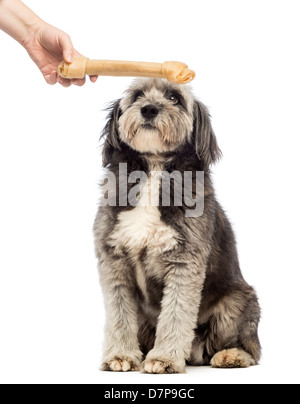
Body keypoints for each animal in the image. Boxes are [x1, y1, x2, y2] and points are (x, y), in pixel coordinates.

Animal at [94, 77, 260, 374]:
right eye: (137, 95)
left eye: (174, 98)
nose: (149, 109)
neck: (154, 168)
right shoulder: (114, 262)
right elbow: (119, 314)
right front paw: (120, 355)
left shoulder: (184, 262)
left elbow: (175, 313)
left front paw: (164, 359)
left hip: (237, 303)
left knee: (252, 348)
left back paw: (232, 355)